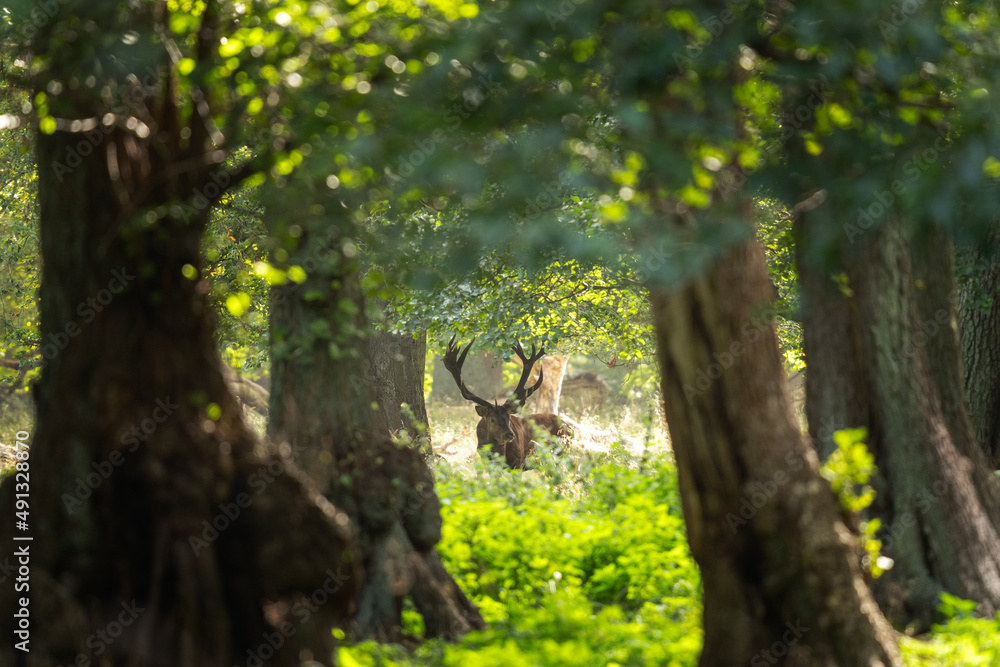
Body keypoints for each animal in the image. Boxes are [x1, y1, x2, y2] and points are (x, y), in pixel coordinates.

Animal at [443, 336, 571, 469]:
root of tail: (569, 427)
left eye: (508, 417)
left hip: (563, 452)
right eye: (492, 419)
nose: (510, 435)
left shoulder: (518, 462)